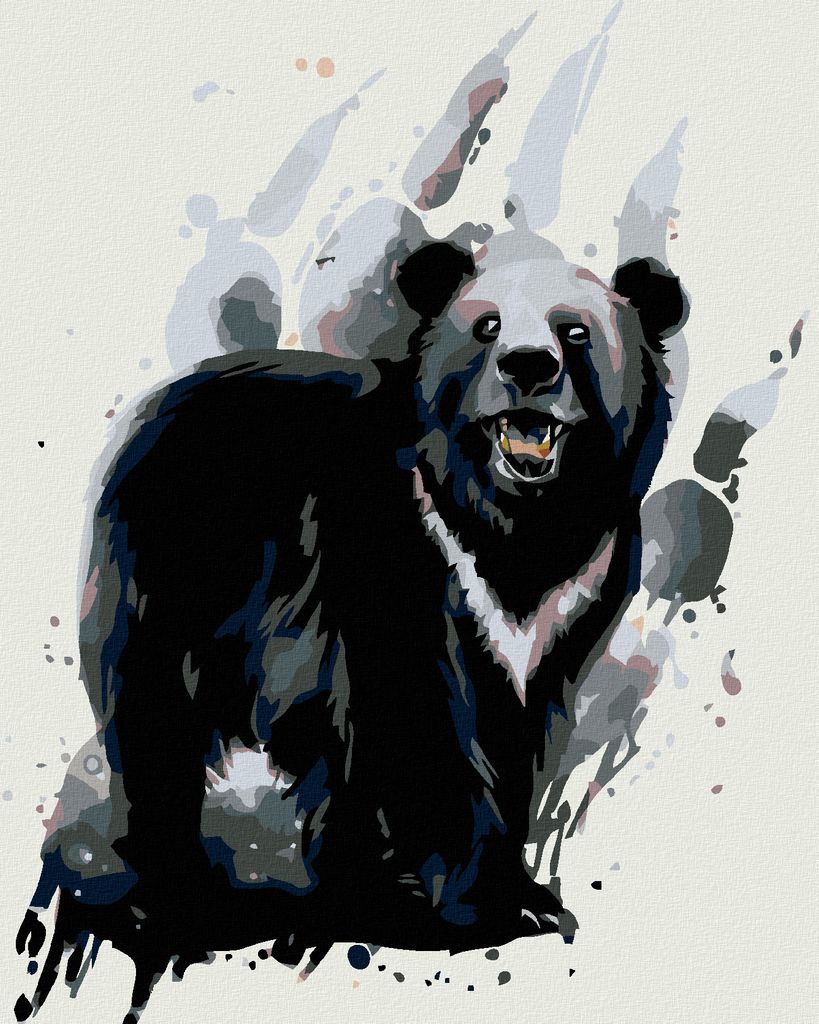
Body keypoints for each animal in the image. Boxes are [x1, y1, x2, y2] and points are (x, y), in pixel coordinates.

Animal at [16, 225, 688, 1020]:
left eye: (575, 333)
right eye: (487, 328)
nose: (529, 367)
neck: (510, 528)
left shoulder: (572, 603)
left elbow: (511, 723)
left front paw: (522, 895)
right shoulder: (396, 556)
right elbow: (417, 718)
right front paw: (477, 902)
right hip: (179, 573)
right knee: (160, 721)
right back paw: (180, 889)